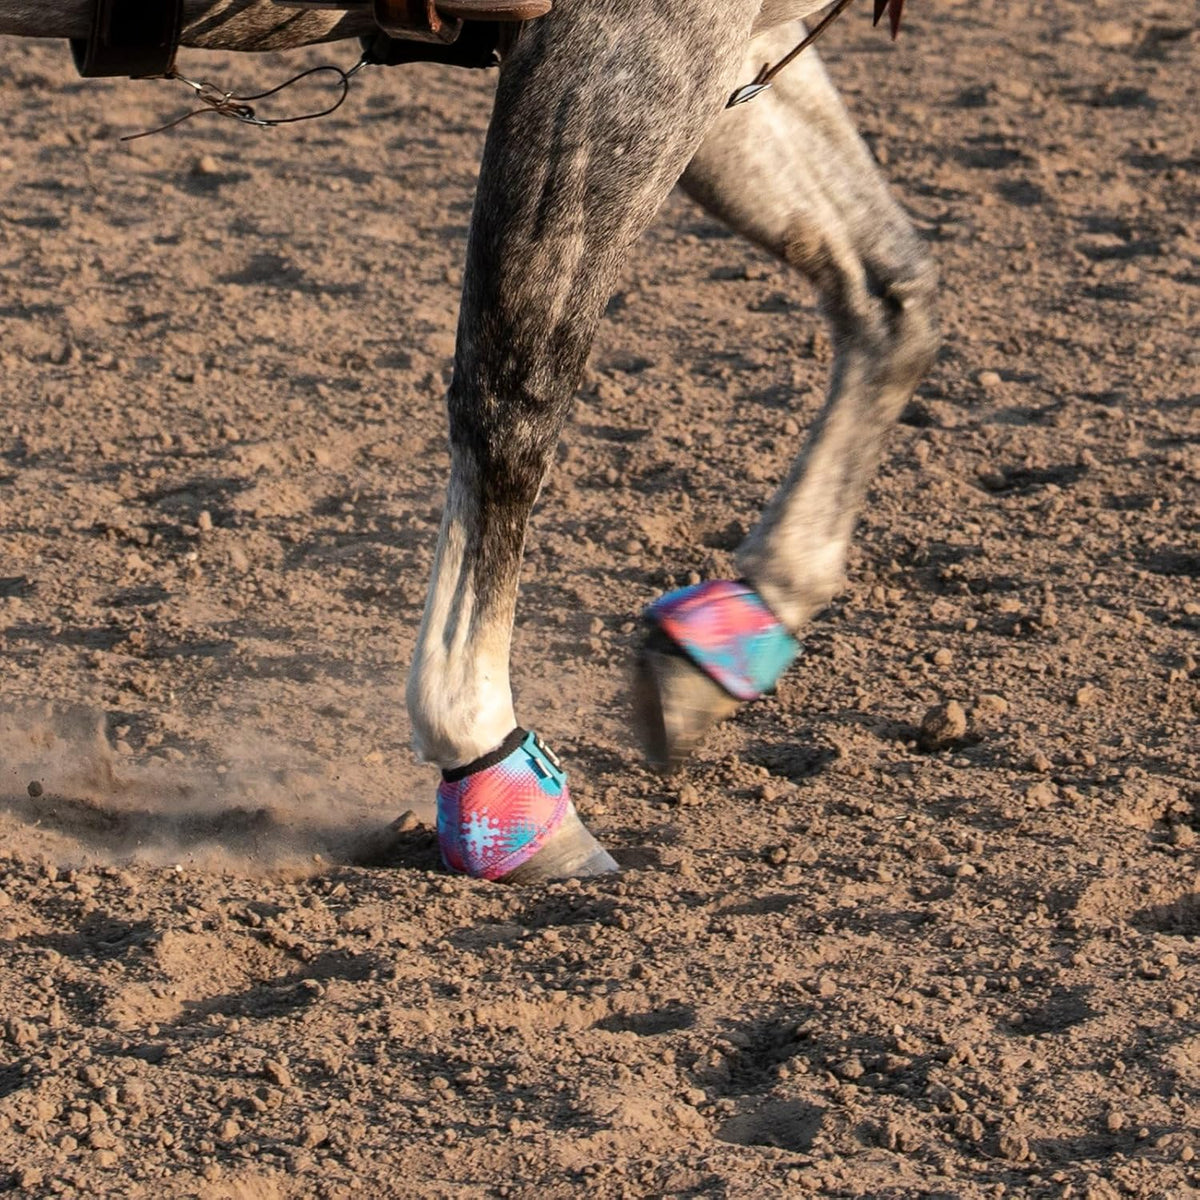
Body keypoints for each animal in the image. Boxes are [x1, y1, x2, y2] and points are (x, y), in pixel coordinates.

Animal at [0, 0, 938, 884]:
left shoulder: (731, 42)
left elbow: (890, 292)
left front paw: (735, 628)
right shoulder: (621, 40)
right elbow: (517, 386)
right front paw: (487, 763)